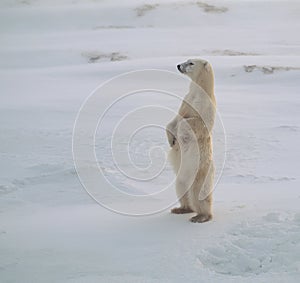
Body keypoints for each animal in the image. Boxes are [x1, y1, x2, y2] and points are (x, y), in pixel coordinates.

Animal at [166, 59, 216, 224]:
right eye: (186, 60)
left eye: (191, 63)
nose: (178, 65)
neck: (199, 91)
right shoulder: (187, 99)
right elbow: (174, 120)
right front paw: (171, 140)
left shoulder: (205, 104)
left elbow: (198, 122)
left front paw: (180, 133)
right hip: (181, 177)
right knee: (181, 189)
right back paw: (180, 209)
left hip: (200, 173)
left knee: (199, 194)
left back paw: (200, 216)